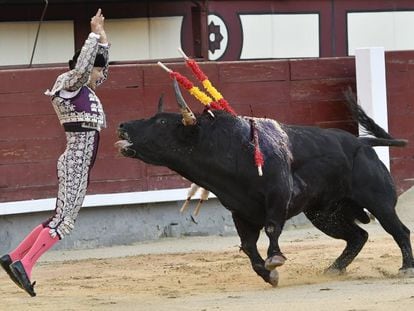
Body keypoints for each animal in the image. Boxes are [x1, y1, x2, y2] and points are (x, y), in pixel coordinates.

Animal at [115, 81, 412, 286]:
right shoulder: (240, 211)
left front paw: (275, 260)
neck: (228, 150)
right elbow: (248, 246)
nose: (123, 126)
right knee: (357, 236)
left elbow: (271, 229)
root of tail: (363, 144)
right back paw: (333, 270)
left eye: (162, 122)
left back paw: (406, 268)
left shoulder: (278, 197)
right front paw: (268, 275)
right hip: (324, 213)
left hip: (379, 202)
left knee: (398, 230)